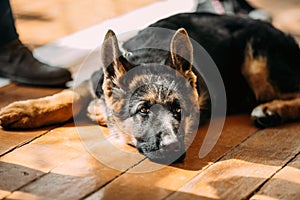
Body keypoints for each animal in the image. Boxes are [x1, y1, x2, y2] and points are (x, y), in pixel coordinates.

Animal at [0, 12, 300, 164]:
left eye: (179, 110)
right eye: (143, 110)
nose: (173, 149)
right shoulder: (91, 83)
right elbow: (64, 98)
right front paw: (24, 110)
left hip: (257, 63)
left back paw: (271, 110)